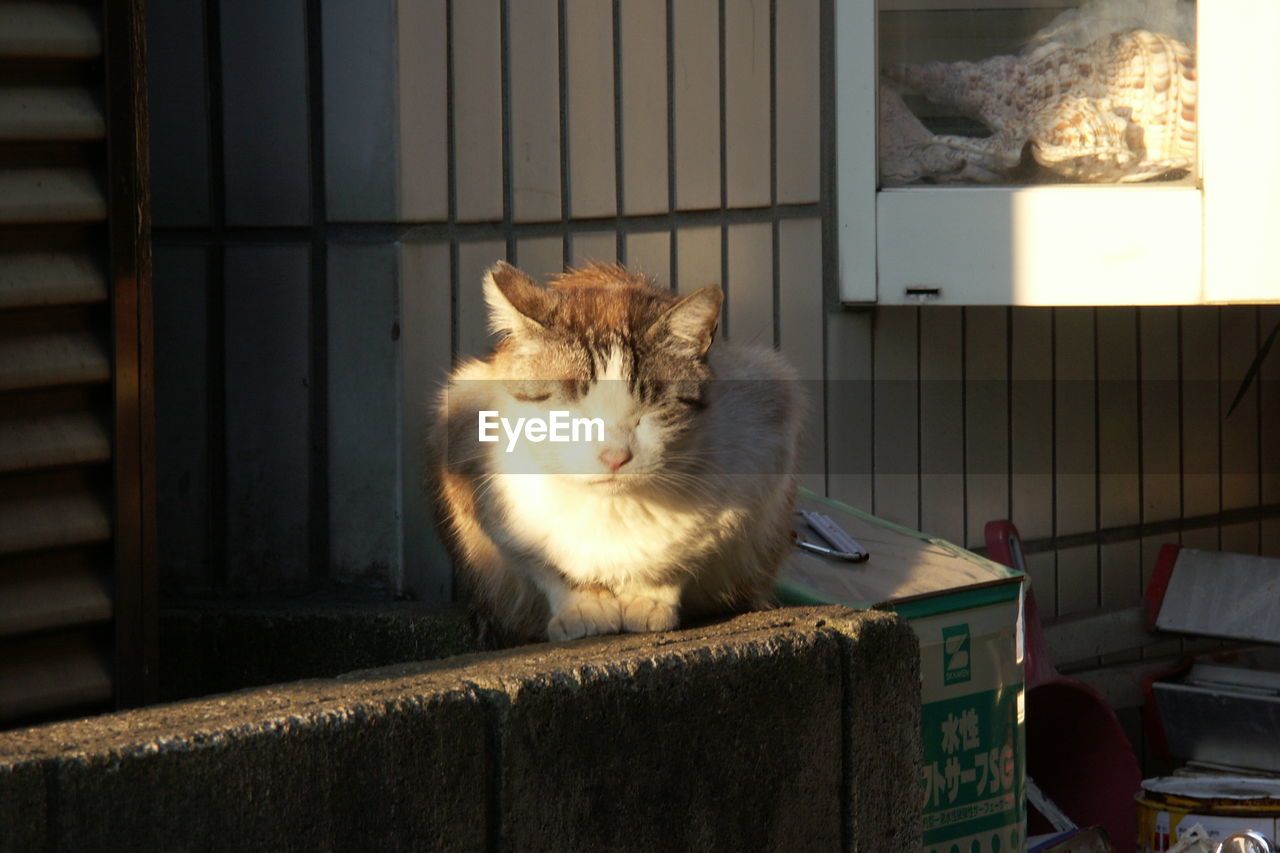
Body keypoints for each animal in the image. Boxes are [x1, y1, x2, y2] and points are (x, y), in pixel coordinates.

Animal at [430, 262, 798, 640]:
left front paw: (647, 600)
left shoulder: (761, 445)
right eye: (573, 412)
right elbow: (548, 566)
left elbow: (678, 557)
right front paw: (584, 608)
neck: (611, 510)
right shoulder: (473, 467)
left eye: (649, 412)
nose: (614, 457)